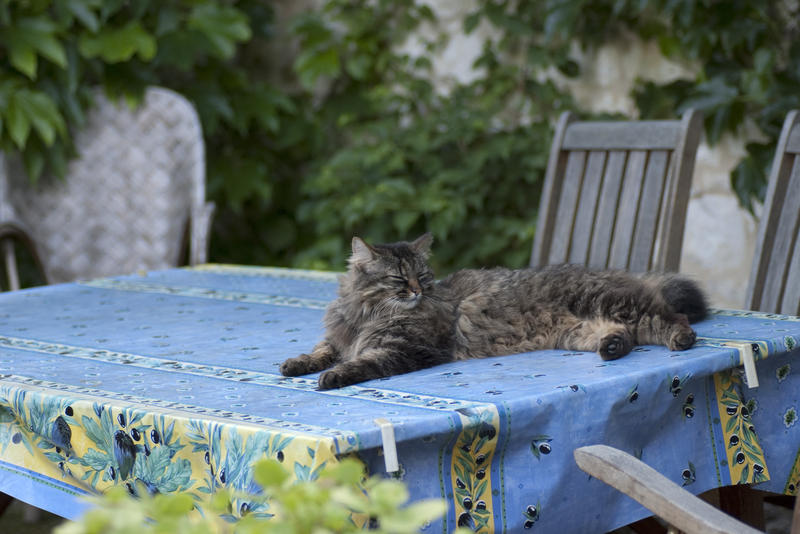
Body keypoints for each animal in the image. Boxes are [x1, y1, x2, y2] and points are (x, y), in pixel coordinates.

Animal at [282, 234, 708, 390]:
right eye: (400, 279)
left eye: (424, 276)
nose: (418, 291)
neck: (367, 314)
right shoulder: (338, 338)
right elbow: (319, 351)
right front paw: (295, 364)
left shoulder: (402, 349)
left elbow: (361, 363)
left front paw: (332, 377)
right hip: (582, 331)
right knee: (623, 336)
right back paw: (613, 349)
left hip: (614, 305)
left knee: (670, 319)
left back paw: (682, 339)